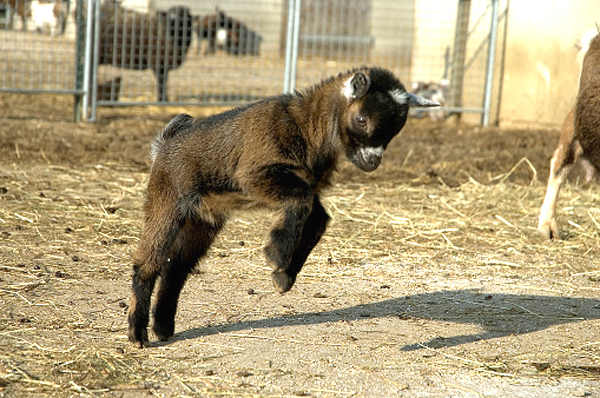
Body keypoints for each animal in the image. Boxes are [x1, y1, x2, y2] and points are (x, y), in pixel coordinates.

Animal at [127, 67, 436, 346]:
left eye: (395, 130)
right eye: (361, 119)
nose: (372, 162)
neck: (306, 126)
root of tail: (165, 144)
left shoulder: (309, 187)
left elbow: (318, 219)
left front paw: (283, 276)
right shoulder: (255, 176)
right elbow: (301, 203)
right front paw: (276, 257)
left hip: (203, 219)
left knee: (176, 268)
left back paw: (163, 328)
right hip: (167, 201)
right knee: (147, 262)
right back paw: (137, 334)